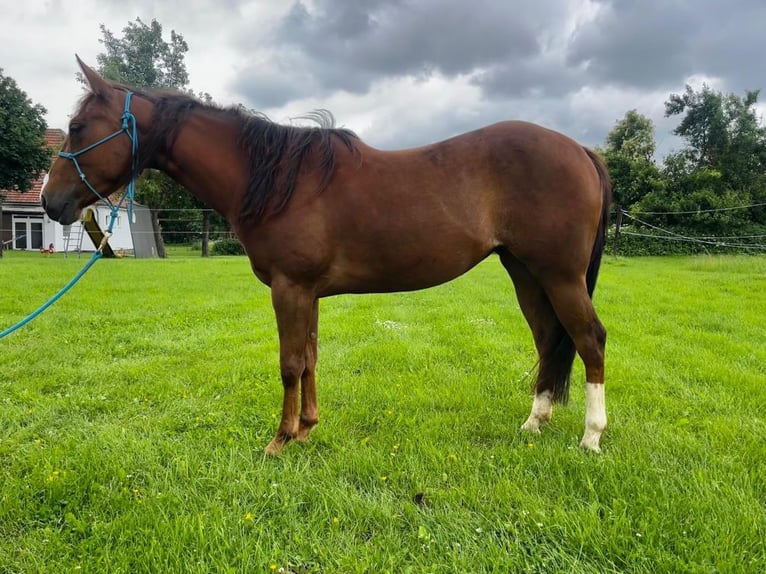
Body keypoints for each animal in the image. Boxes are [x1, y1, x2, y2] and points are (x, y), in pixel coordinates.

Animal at [45, 58, 616, 454]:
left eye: (77, 128)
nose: (51, 202)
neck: (276, 180)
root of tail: (580, 149)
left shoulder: (289, 288)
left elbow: (290, 363)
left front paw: (279, 440)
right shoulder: (309, 293)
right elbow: (312, 358)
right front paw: (306, 429)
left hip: (559, 275)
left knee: (589, 339)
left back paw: (591, 436)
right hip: (526, 273)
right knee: (548, 339)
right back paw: (535, 422)